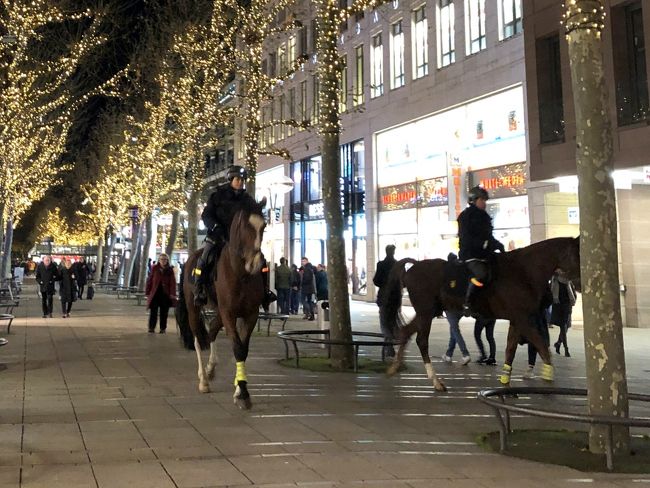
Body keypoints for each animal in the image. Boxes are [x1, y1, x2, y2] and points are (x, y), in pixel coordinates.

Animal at [176, 203, 266, 409]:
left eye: (263, 226)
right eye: (245, 226)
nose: (256, 263)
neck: (241, 273)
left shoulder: (250, 314)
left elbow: (243, 350)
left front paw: (239, 387)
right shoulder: (229, 313)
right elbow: (237, 348)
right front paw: (243, 393)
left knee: (211, 330)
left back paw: (210, 369)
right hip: (194, 309)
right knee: (197, 337)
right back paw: (203, 380)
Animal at [382, 237, 581, 391]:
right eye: (577, 254)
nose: (578, 287)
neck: (523, 271)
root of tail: (415, 265)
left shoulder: (517, 320)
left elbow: (510, 350)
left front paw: (505, 381)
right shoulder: (523, 320)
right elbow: (542, 347)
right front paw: (549, 377)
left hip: (428, 312)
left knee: (406, 331)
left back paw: (395, 368)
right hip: (426, 312)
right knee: (421, 341)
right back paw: (436, 382)